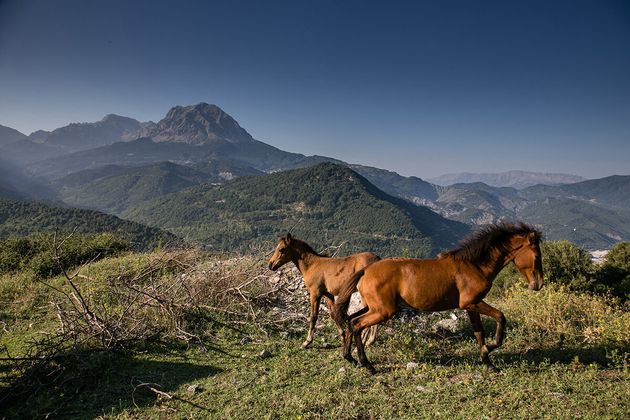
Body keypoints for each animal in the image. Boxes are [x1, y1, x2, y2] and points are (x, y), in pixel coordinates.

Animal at [334, 223, 544, 374]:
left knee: (351, 321)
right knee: (357, 325)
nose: (538, 284)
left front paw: (489, 363)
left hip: (373, 307)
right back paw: (367, 365)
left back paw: (350, 358)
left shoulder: (471, 307)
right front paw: (491, 348)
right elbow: (500, 317)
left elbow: (479, 333)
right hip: (383, 311)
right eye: (536, 256)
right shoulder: (472, 303)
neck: (474, 266)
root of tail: (366, 270)